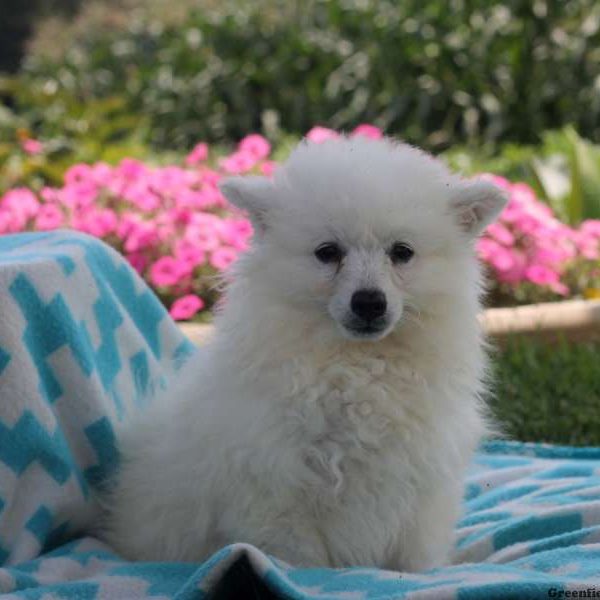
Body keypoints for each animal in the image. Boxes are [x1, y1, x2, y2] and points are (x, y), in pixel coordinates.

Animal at [103, 136, 506, 572]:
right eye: (327, 252)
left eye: (402, 252)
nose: (369, 302)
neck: (356, 365)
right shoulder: (275, 491)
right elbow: (303, 562)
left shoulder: (422, 492)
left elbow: (415, 561)